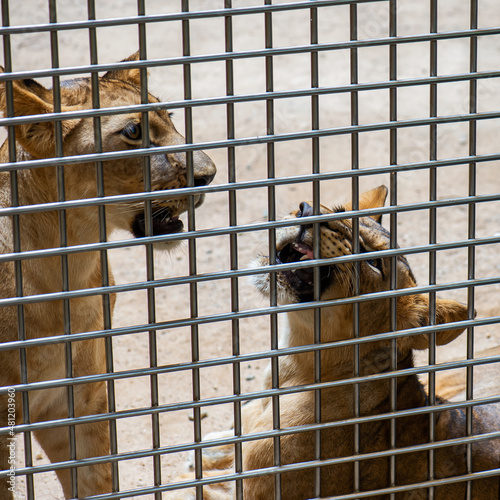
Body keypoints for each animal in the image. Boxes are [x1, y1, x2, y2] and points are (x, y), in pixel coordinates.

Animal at [0, 52, 216, 498]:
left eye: (169, 116)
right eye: (133, 131)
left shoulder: (79, 401)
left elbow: (98, 480)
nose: (211, 175)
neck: (69, 268)